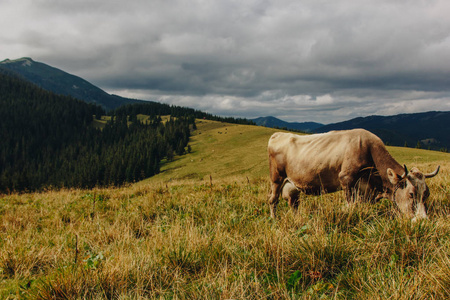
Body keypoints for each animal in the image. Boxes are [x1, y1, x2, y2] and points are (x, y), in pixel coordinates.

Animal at [268, 129, 440, 220]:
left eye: (427, 194)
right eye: (411, 194)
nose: (422, 220)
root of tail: (278, 134)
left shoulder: (364, 190)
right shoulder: (346, 179)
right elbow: (350, 205)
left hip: (292, 185)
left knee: (293, 202)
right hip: (276, 178)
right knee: (273, 200)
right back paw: (274, 219)